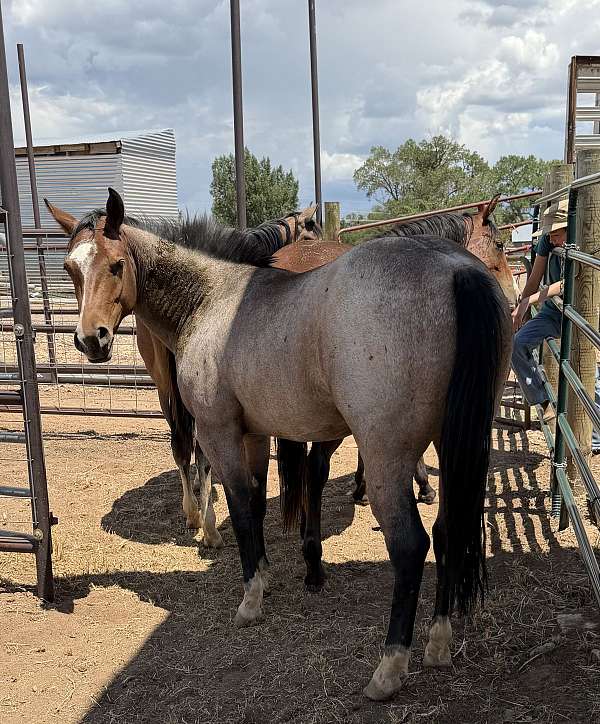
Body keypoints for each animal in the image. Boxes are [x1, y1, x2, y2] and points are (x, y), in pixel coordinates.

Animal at [48, 188, 511, 701]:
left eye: (115, 265)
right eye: (70, 267)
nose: (91, 340)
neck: (211, 300)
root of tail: (455, 269)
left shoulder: (219, 431)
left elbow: (241, 506)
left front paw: (251, 598)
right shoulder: (253, 433)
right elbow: (255, 501)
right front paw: (266, 576)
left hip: (387, 457)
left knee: (411, 546)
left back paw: (388, 670)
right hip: (453, 445)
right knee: (449, 532)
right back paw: (439, 643)